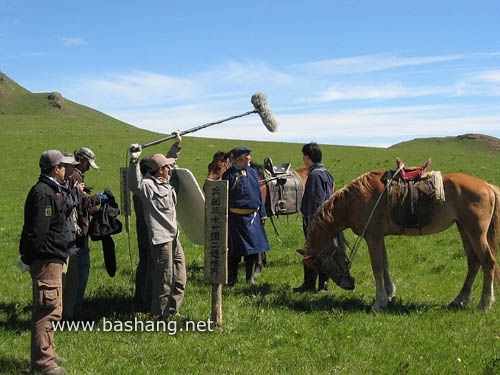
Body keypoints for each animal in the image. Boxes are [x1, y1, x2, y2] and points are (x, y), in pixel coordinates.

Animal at [300, 170, 500, 312]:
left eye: (323, 264)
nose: (347, 285)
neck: (356, 200)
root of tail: (487, 186)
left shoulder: (372, 237)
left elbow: (377, 268)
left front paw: (378, 302)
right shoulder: (379, 236)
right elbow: (385, 265)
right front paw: (389, 295)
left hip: (476, 232)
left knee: (488, 262)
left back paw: (484, 304)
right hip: (464, 229)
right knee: (474, 263)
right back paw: (459, 300)